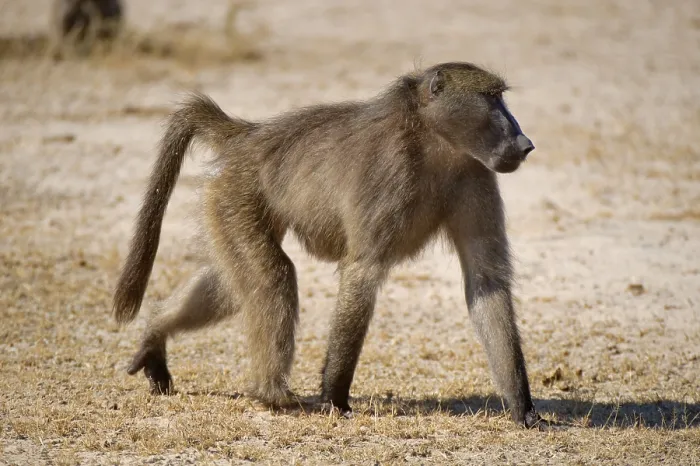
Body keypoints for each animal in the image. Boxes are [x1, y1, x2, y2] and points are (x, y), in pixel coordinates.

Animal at [113, 62, 541, 428]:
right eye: (492, 98)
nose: (525, 143)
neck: (435, 141)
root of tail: (249, 136)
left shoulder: (475, 174)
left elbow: (486, 280)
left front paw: (523, 407)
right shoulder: (390, 176)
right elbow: (362, 271)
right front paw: (334, 397)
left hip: (227, 204)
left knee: (231, 287)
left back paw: (154, 335)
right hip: (234, 195)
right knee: (273, 277)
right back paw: (273, 395)